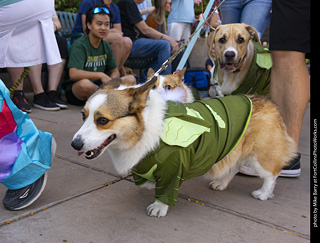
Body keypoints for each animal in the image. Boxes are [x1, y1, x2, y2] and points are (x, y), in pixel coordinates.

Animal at [72, 77, 296, 216]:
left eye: (102, 120)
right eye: (83, 115)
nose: (75, 144)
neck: (142, 129)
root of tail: (270, 103)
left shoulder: (173, 166)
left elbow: (165, 191)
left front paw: (159, 207)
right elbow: (145, 181)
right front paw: (150, 183)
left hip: (260, 157)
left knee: (271, 174)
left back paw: (264, 194)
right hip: (233, 149)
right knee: (233, 166)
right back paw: (221, 183)